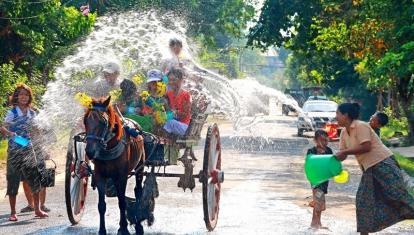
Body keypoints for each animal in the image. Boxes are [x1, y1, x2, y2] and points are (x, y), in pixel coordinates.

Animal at [83, 96, 146, 234]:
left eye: (103, 122)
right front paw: (102, 230)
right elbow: (101, 205)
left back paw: (138, 223)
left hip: (140, 167)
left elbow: (122, 203)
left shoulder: (121, 177)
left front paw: (124, 228)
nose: (89, 152)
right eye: (85, 121)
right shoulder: (100, 176)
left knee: (138, 191)